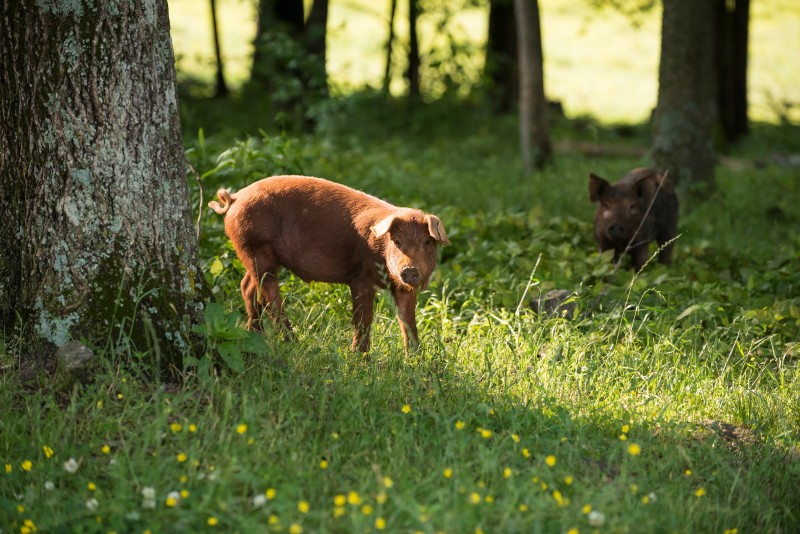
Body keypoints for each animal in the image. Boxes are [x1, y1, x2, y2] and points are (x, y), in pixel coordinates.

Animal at [208, 174, 450, 354]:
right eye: (397, 242)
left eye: (427, 242)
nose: (409, 270)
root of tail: (235, 197)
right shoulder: (359, 277)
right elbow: (363, 318)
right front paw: (360, 358)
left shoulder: (403, 288)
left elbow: (408, 321)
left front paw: (416, 359)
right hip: (256, 248)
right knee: (268, 296)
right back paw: (294, 343)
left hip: (253, 255)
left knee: (247, 287)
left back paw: (255, 335)